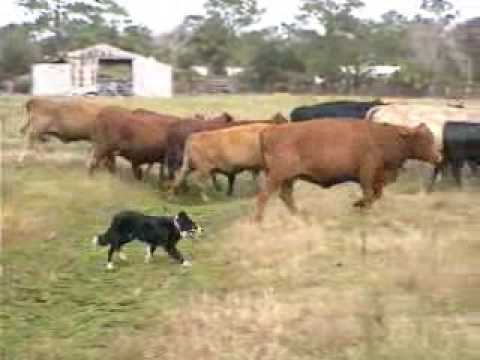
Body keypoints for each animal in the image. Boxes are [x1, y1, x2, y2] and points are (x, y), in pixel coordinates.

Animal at [255, 119, 442, 222]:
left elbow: (376, 195)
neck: (382, 137)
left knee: (286, 196)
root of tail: (270, 130)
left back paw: (300, 216)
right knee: (264, 196)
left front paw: (358, 205)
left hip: (289, 178)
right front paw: (359, 207)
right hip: (278, 176)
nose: (438, 157)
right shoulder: (367, 174)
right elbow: (369, 194)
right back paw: (258, 221)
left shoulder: (377, 179)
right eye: (424, 139)